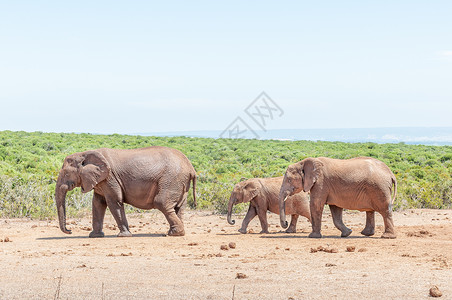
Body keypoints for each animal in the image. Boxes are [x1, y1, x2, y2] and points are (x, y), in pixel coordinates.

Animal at [54, 146, 196, 238]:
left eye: (66, 174)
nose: (70, 231)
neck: (85, 153)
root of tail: (191, 168)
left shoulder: (110, 178)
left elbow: (114, 201)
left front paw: (123, 236)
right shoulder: (101, 181)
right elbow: (98, 203)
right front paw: (95, 236)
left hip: (171, 179)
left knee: (161, 202)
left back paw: (174, 233)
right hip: (180, 183)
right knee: (179, 207)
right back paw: (176, 233)